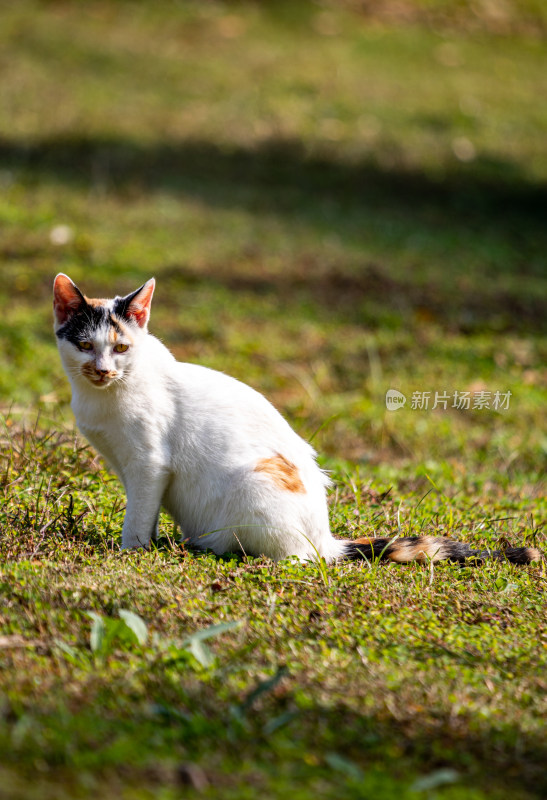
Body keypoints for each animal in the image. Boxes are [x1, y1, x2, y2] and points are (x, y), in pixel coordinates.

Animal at [53, 276, 540, 568]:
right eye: (85, 345)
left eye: (121, 348)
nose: (103, 370)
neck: (105, 397)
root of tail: (326, 538)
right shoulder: (128, 468)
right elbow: (145, 509)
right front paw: (146, 541)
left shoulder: (149, 464)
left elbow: (139, 513)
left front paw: (131, 550)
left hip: (255, 487)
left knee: (295, 558)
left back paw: (211, 549)